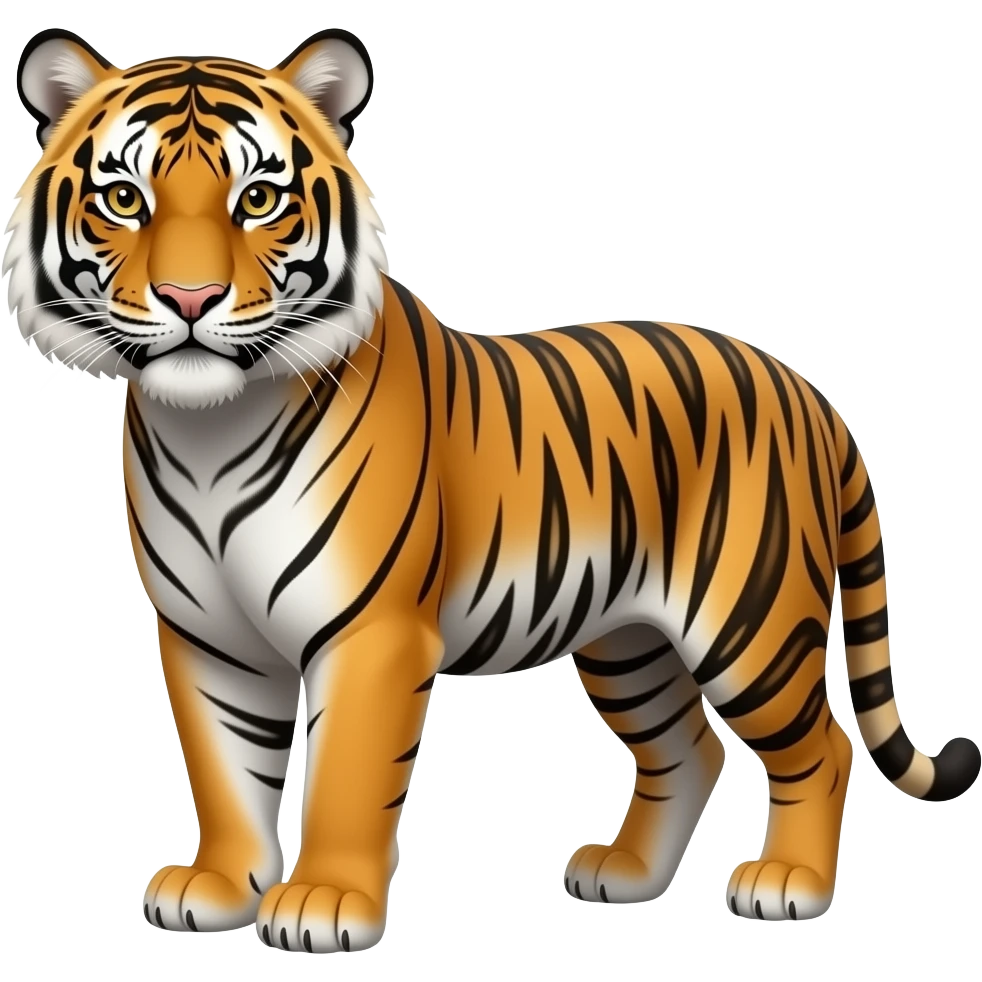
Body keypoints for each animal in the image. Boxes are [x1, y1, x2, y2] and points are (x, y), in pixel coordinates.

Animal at [5, 26, 979, 954]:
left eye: (258, 200)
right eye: (124, 199)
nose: (190, 297)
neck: (209, 430)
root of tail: (805, 388)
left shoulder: (372, 632)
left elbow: (345, 775)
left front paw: (324, 903)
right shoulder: (208, 636)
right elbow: (223, 769)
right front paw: (217, 886)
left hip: (751, 622)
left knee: (823, 746)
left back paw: (789, 886)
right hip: (627, 638)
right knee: (689, 748)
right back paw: (625, 874)